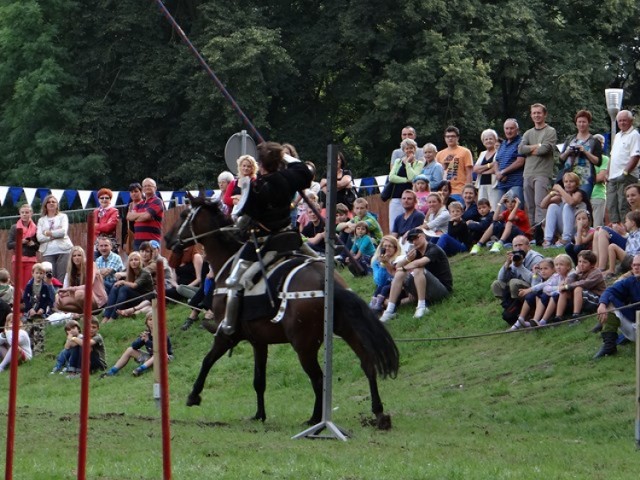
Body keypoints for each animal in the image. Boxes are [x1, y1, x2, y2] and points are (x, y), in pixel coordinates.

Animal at [162, 193, 398, 430]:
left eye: (183, 215)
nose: (167, 239)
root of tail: (326, 281)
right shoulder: (258, 341)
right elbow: (259, 380)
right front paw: (259, 414)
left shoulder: (227, 335)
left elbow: (207, 360)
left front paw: (193, 395)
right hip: (345, 330)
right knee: (367, 363)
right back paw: (378, 413)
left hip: (303, 346)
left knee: (318, 378)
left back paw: (315, 419)